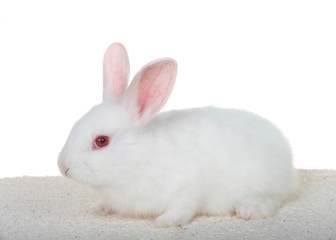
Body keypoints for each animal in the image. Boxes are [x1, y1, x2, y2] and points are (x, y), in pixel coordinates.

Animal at [57, 42, 296, 227]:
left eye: (101, 141)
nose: (63, 167)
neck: (141, 157)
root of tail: (287, 157)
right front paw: (99, 207)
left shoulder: (187, 188)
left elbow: (183, 207)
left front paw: (166, 221)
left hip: (263, 182)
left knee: (273, 200)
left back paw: (249, 209)